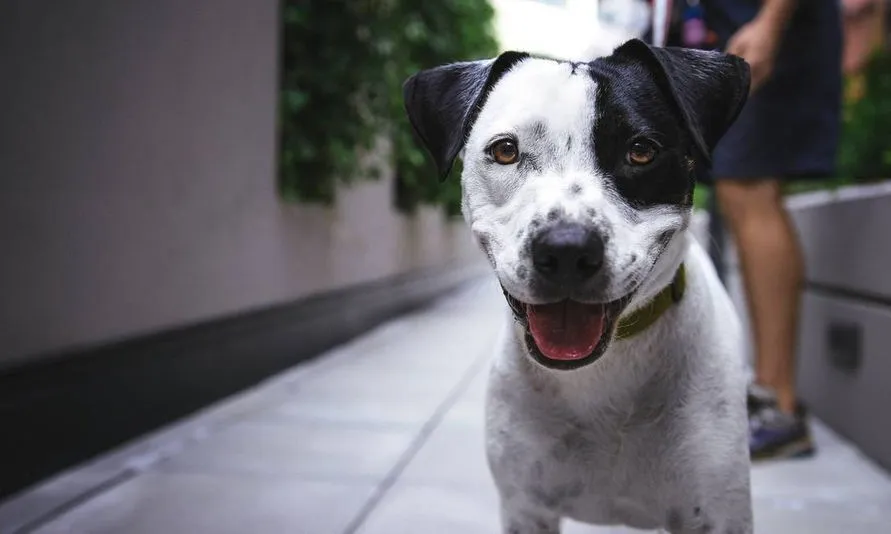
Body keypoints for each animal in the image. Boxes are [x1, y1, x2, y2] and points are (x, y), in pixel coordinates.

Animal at [404, 38, 752, 534]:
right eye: (505, 150)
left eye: (641, 151)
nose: (566, 249)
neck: (604, 373)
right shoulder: (526, 508)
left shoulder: (717, 513)